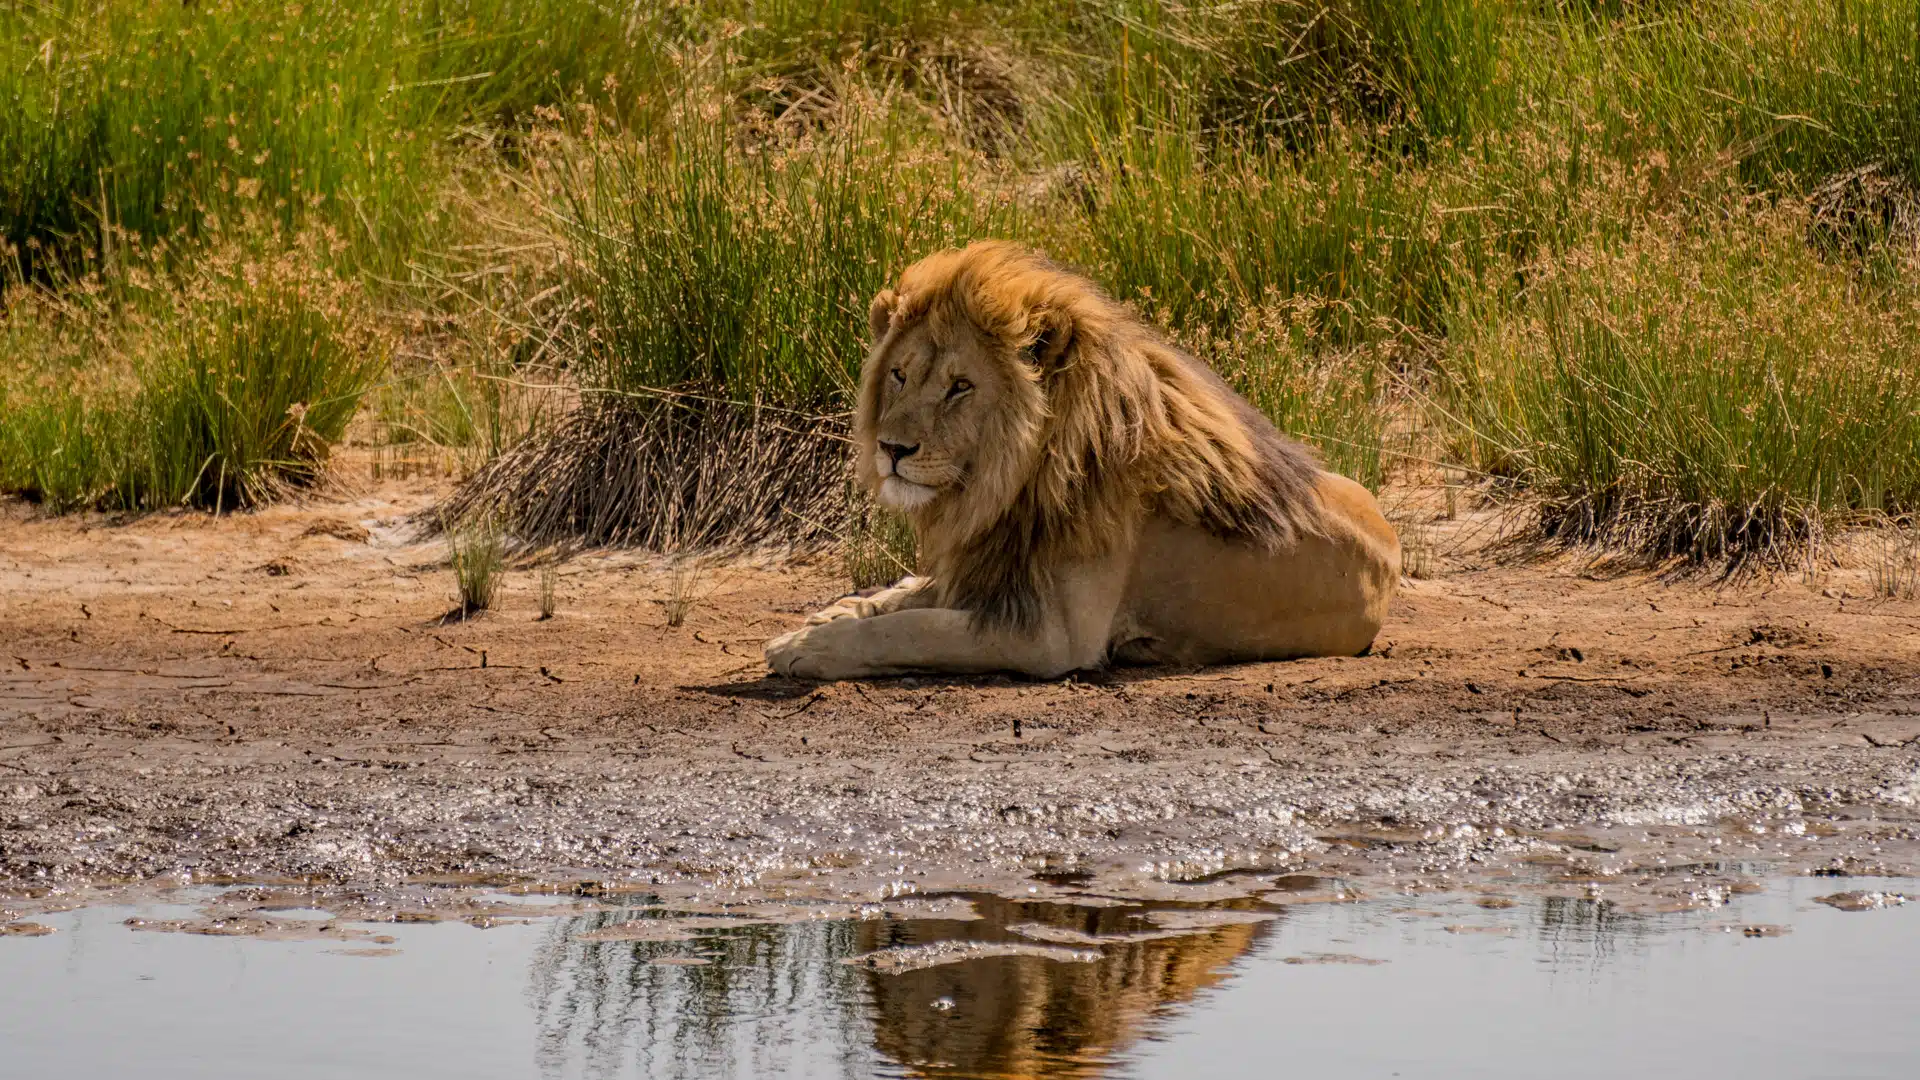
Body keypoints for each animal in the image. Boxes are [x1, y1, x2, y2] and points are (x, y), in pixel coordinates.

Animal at [760, 245, 1397, 680]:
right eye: (899, 375)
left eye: (960, 387)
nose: (892, 450)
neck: (1009, 484)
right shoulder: (996, 573)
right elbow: (905, 603)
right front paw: (829, 619)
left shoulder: (1050, 637)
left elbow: (906, 631)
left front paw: (802, 648)